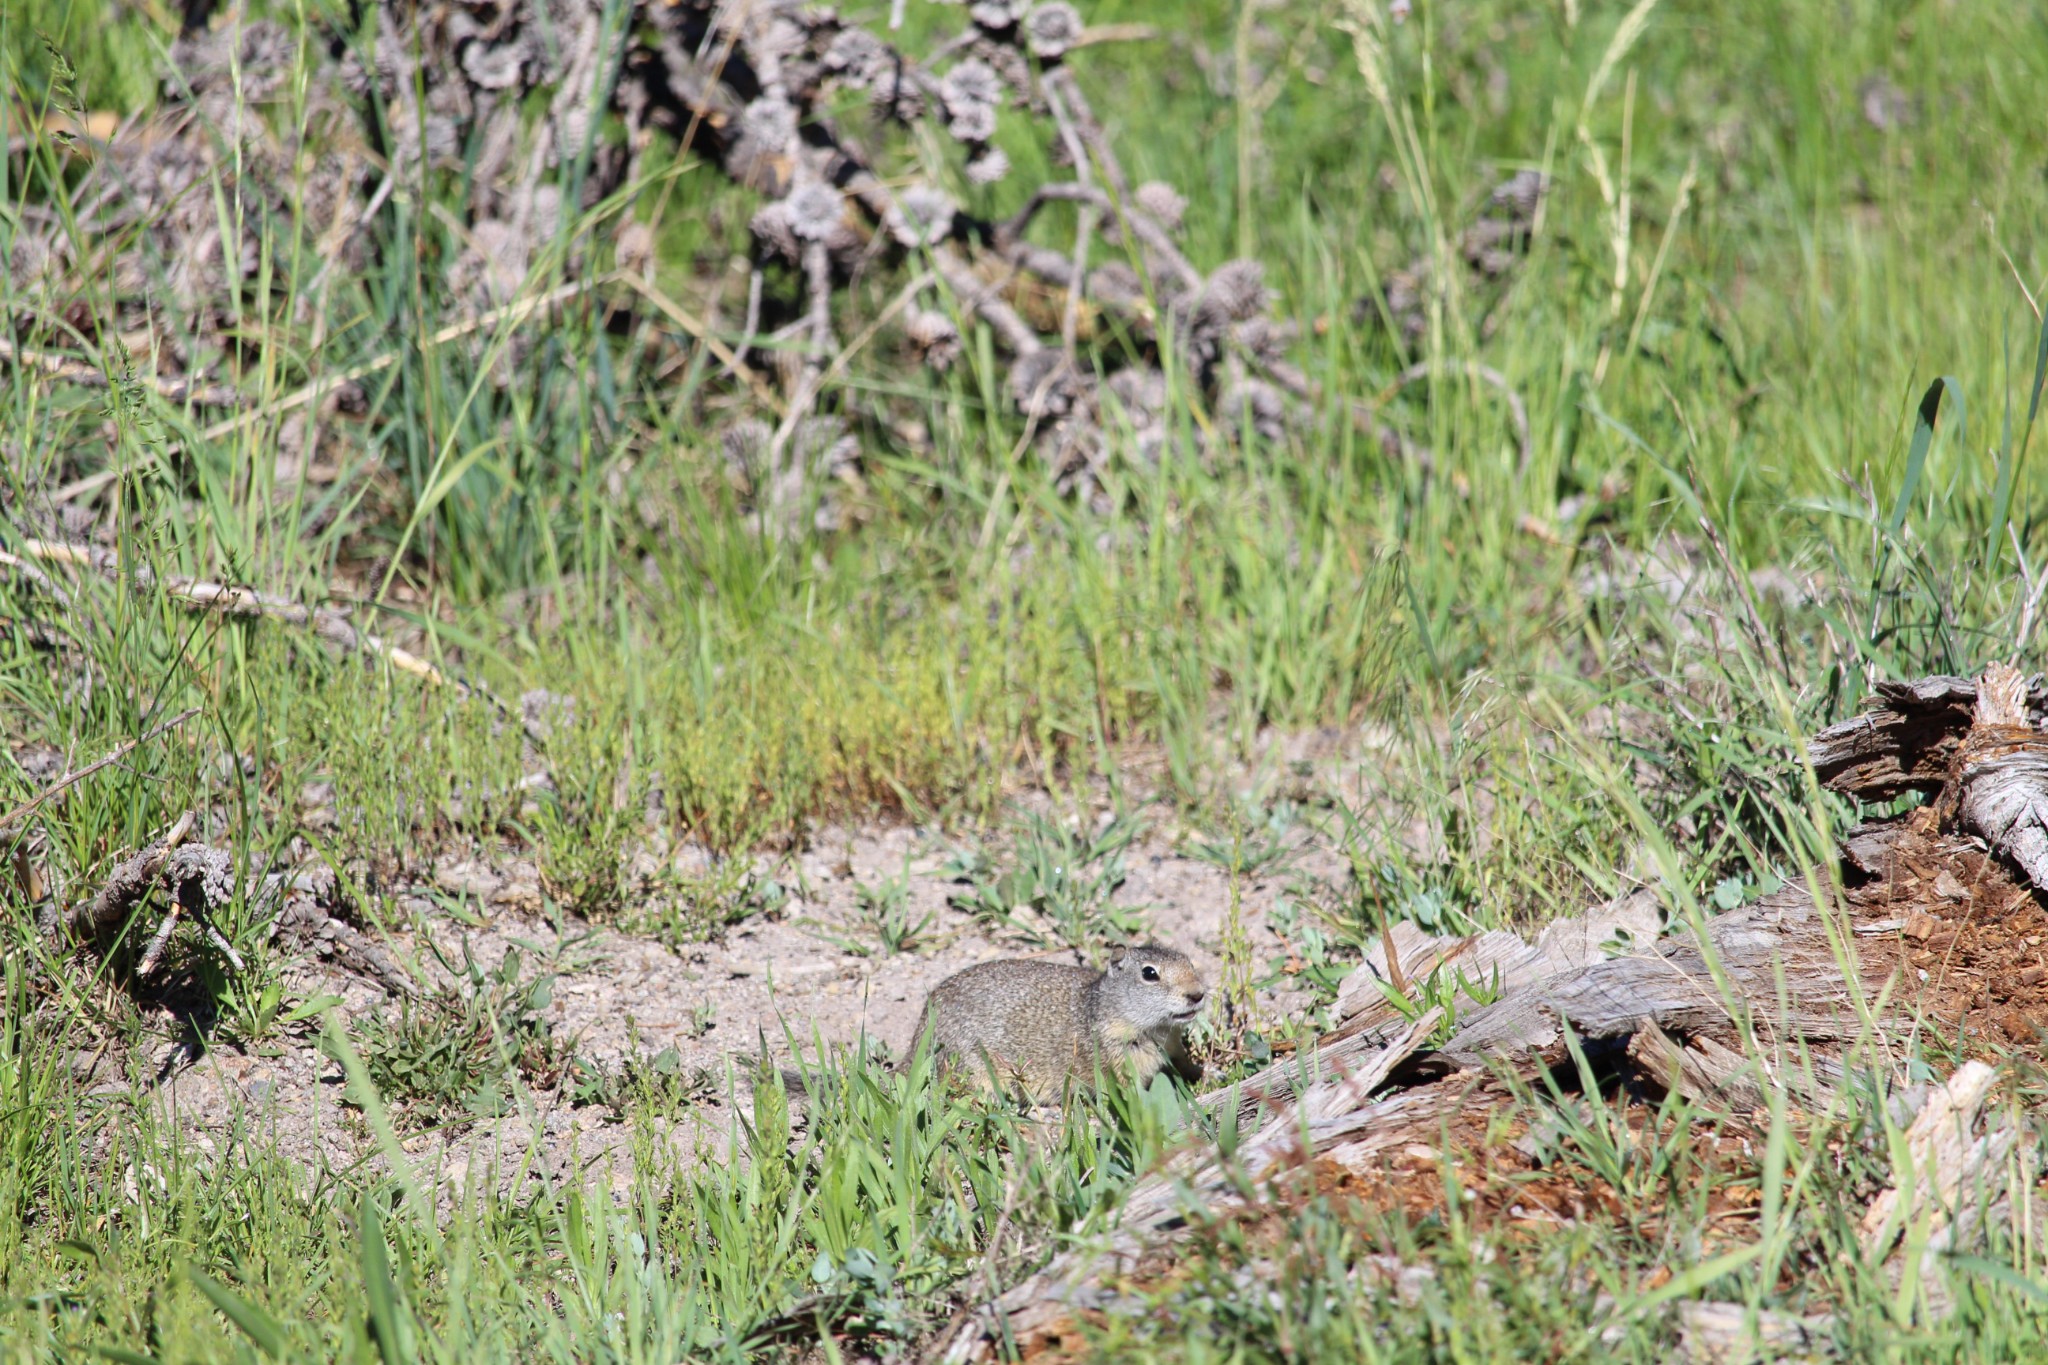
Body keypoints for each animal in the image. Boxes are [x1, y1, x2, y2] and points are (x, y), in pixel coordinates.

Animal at [909, 945, 1204, 1105]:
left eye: (1190, 963)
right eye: (1149, 973)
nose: (1197, 994)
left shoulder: (1174, 1046)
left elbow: (1184, 1064)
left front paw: (1203, 1073)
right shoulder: (1117, 1061)